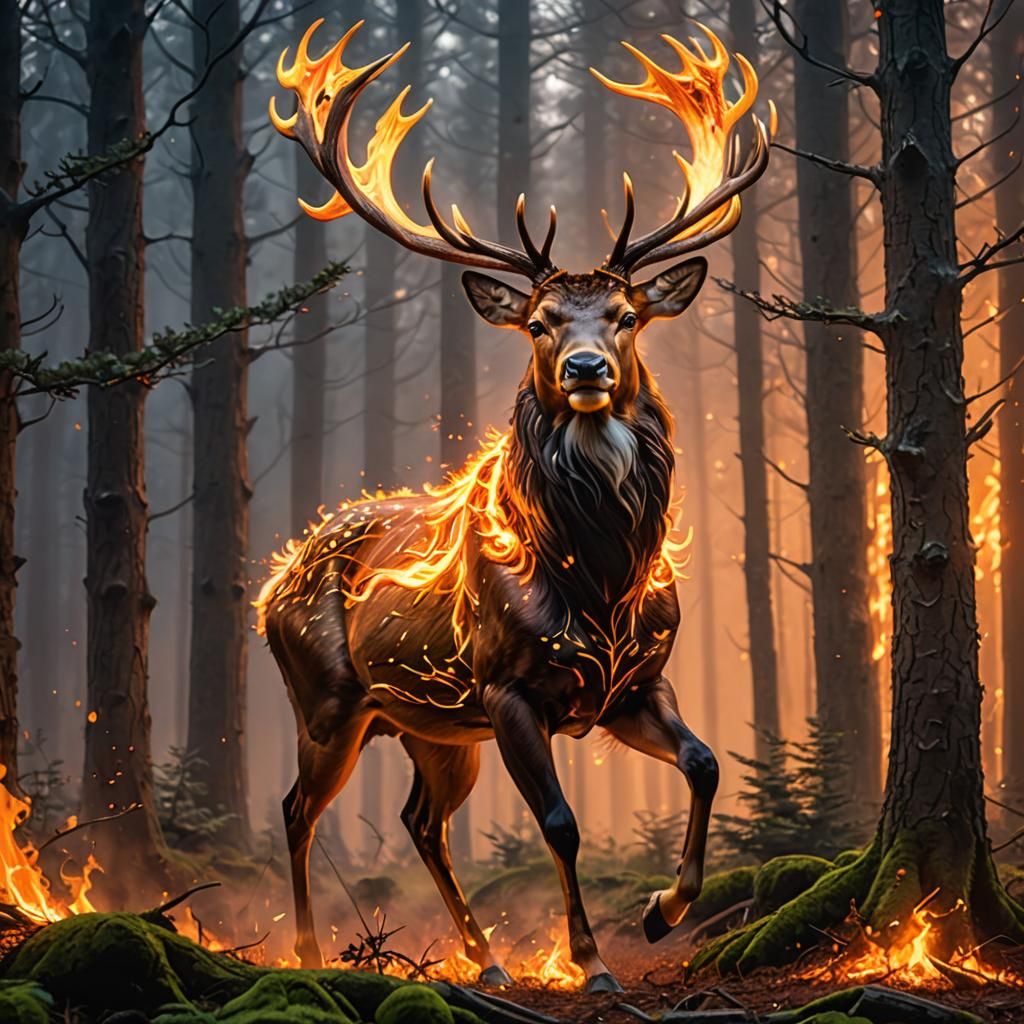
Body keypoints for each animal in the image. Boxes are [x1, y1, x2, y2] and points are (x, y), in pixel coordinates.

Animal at [261, 18, 770, 993]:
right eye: (539, 321)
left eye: (626, 314)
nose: (586, 369)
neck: (599, 579)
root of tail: (272, 579)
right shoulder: (506, 688)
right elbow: (562, 823)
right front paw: (593, 962)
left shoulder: (632, 684)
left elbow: (705, 761)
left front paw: (662, 910)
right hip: (331, 701)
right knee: (298, 806)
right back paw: (306, 951)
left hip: (429, 726)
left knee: (420, 819)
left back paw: (488, 960)